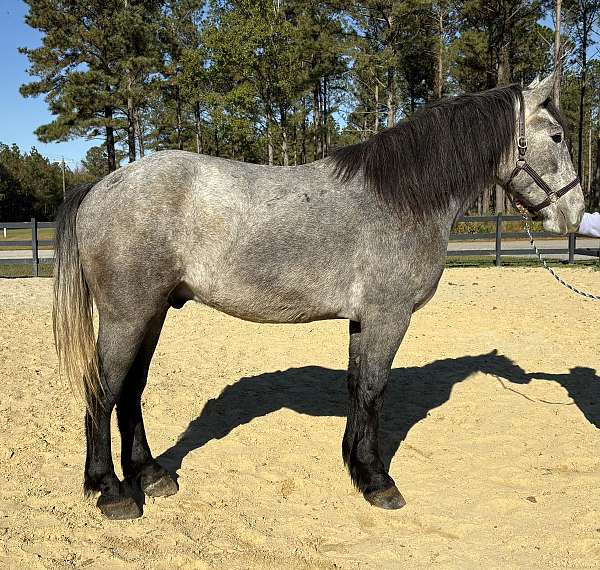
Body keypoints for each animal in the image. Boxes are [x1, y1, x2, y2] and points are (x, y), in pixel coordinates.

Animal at [54, 76, 584, 520]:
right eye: (558, 136)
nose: (575, 214)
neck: (402, 199)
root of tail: (101, 186)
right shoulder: (388, 317)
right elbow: (373, 390)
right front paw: (378, 482)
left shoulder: (363, 320)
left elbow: (357, 388)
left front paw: (356, 466)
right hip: (127, 315)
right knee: (103, 390)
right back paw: (111, 491)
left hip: (153, 312)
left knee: (131, 390)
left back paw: (150, 475)